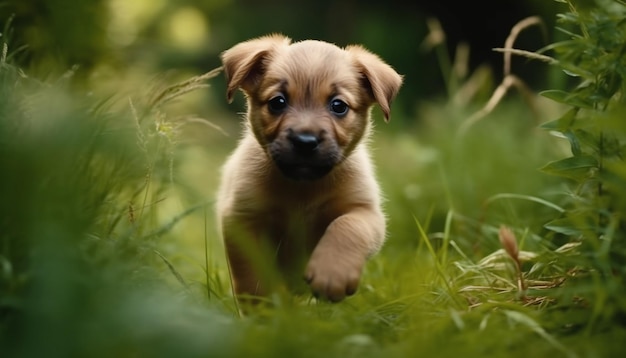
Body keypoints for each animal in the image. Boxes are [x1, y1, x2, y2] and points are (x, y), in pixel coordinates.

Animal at [214, 33, 400, 304]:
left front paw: (332, 273)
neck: (302, 189)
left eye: (338, 106)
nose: (305, 141)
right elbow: (253, 275)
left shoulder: (365, 211)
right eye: (278, 102)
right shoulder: (242, 218)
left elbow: (346, 227)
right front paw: (262, 308)